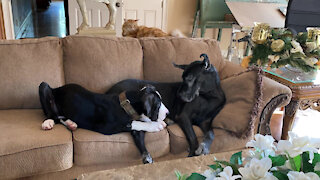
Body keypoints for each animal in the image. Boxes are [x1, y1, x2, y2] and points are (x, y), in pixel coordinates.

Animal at [38, 82, 169, 164]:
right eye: (158, 105)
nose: (168, 113)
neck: (124, 104)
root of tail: (57, 88)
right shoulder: (108, 127)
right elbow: (133, 123)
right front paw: (156, 125)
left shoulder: (136, 129)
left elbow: (138, 133)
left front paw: (147, 157)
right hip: (43, 87)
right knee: (53, 115)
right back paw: (48, 123)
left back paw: (71, 123)